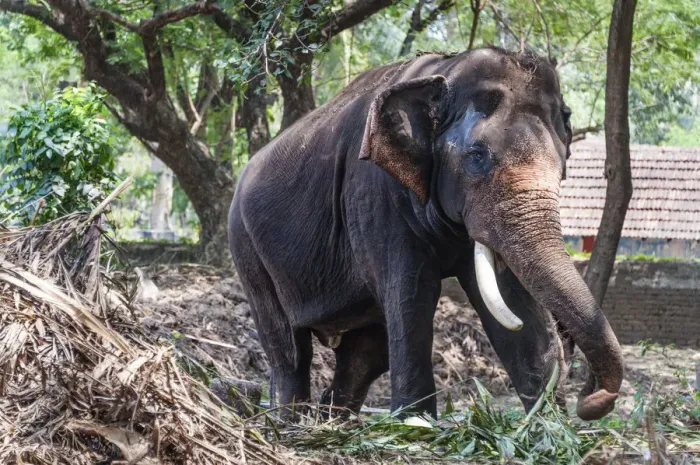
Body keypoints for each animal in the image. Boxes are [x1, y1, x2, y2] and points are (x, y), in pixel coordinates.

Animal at [228, 47, 624, 421]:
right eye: (477, 156)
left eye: (562, 165)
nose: (589, 400)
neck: (445, 73)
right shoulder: (374, 196)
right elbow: (413, 292)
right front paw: (413, 424)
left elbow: (509, 296)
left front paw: (550, 427)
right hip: (247, 249)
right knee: (290, 350)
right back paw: (290, 422)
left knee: (365, 354)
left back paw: (330, 422)